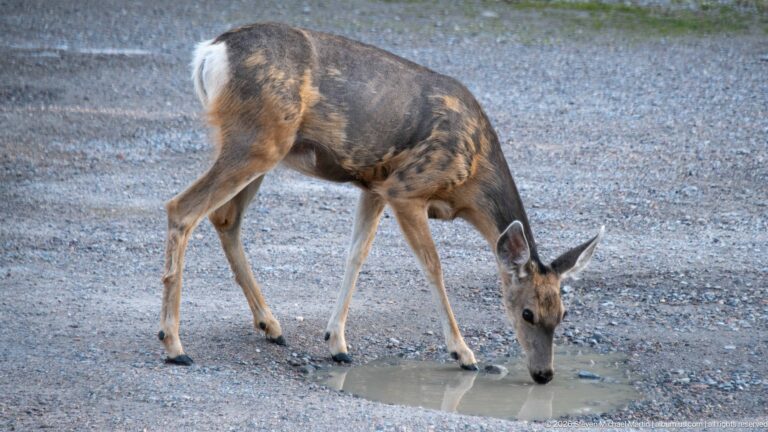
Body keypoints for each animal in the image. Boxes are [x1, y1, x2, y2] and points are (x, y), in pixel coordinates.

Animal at [158, 22, 603, 384]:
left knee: (225, 218)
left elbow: (356, 254)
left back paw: (271, 325)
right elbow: (433, 267)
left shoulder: (374, 185)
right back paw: (174, 344)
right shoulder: (407, 188)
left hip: (261, 146)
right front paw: (463, 353)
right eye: (527, 313)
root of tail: (211, 52)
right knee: (182, 208)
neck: (472, 175)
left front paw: (337, 342)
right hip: (257, 139)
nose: (544, 374)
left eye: (562, 314)